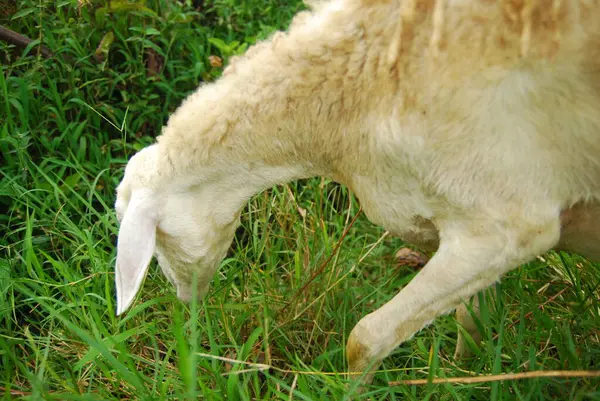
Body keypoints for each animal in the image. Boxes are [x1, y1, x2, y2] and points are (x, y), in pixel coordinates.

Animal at [112, 0, 600, 384]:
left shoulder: (506, 224)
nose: (186, 304)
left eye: (157, 243)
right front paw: (464, 372)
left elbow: (363, 340)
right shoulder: (476, 234)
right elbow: (470, 317)